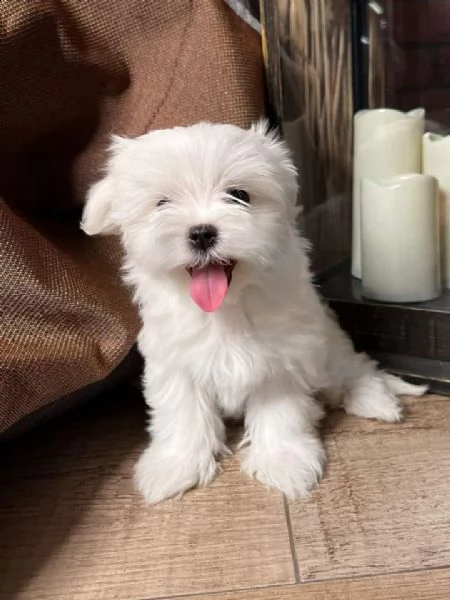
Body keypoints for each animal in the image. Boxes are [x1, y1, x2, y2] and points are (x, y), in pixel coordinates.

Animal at [81, 119, 428, 504]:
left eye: (240, 195)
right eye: (162, 203)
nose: (201, 233)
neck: (227, 307)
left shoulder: (284, 357)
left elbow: (281, 412)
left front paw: (284, 460)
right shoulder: (175, 362)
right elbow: (183, 413)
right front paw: (175, 465)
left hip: (330, 350)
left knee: (357, 369)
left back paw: (375, 400)